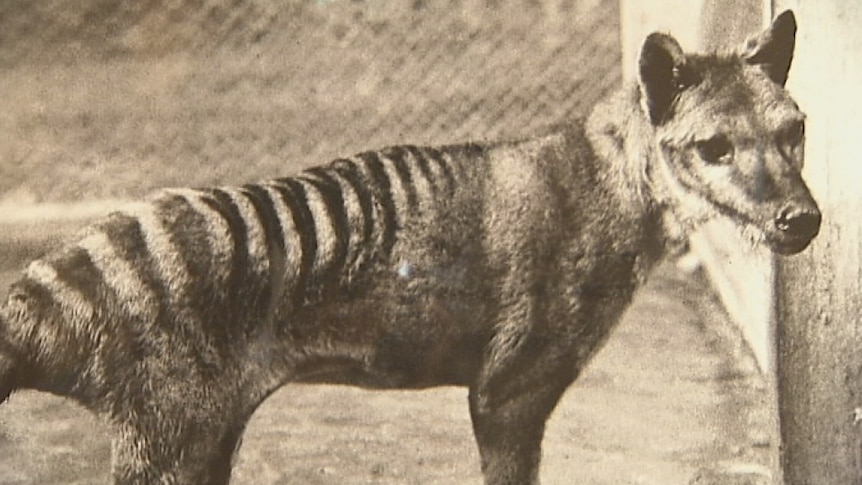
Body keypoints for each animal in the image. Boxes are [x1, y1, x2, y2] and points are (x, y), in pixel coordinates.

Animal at [0, 10, 824, 484]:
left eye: (795, 129)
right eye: (713, 146)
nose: (801, 219)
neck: (602, 180)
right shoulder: (509, 392)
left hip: (207, 440)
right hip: (169, 444)